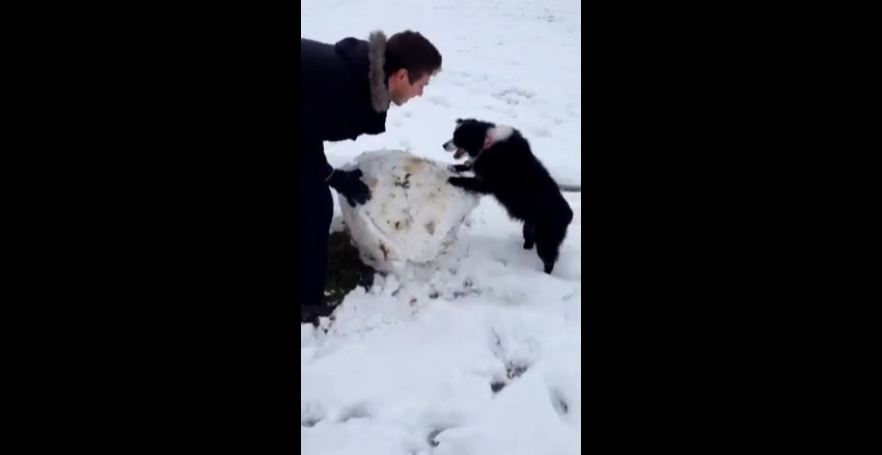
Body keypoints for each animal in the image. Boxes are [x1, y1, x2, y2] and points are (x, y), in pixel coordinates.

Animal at [444, 118, 576, 274]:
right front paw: (454, 167)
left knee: (549, 261)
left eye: (457, 137)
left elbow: (468, 180)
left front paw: (452, 179)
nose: (444, 145)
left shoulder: (487, 183)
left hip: (547, 239)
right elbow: (469, 164)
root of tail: (568, 214)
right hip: (530, 227)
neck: (487, 140)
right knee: (529, 242)